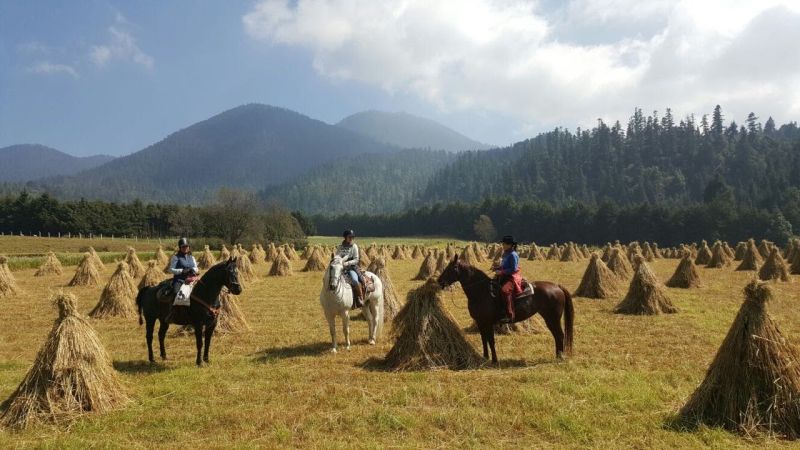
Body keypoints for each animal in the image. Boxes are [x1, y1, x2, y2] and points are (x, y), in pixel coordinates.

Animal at [438, 255, 576, 364]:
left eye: (452, 268)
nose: (440, 281)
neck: (482, 291)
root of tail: (557, 286)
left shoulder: (488, 322)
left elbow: (491, 340)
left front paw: (494, 360)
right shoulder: (480, 322)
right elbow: (484, 340)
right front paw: (485, 357)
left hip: (553, 318)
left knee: (559, 334)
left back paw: (560, 356)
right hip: (550, 318)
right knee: (557, 335)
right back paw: (558, 356)